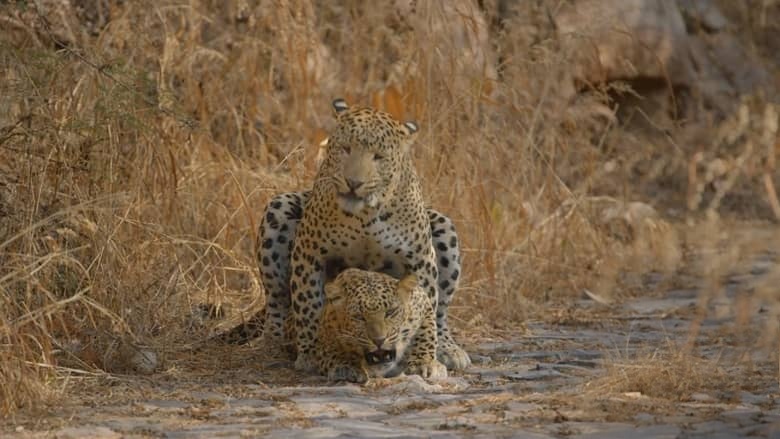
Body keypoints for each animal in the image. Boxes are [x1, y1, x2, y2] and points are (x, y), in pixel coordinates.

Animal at [309, 268, 446, 383]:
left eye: (390, 312)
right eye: (359, 317)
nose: (379, 340)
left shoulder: (422, 302)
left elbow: (426, 334)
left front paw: (423, 363)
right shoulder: (325, 335)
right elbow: (332, 351)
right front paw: (345, 367)